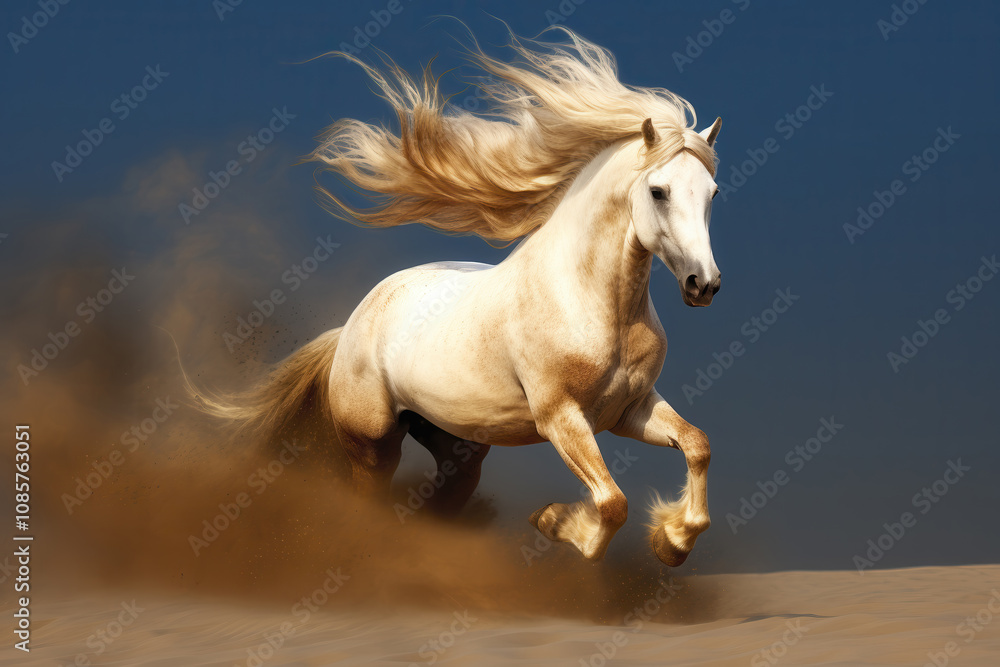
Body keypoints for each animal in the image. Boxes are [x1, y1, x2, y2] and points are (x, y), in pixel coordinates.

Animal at [194, 28, 723, 566]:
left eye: (713, 193)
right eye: (658, 191)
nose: (703, 284)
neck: (595, 307)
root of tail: (350, 328)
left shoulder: (629, 410)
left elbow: (697, 445)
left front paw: (673, 542)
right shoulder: (561, 418)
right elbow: (613, 504)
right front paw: (555, 522)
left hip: (456, 443)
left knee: (447, 498)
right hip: (373, 445)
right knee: (369, 500)